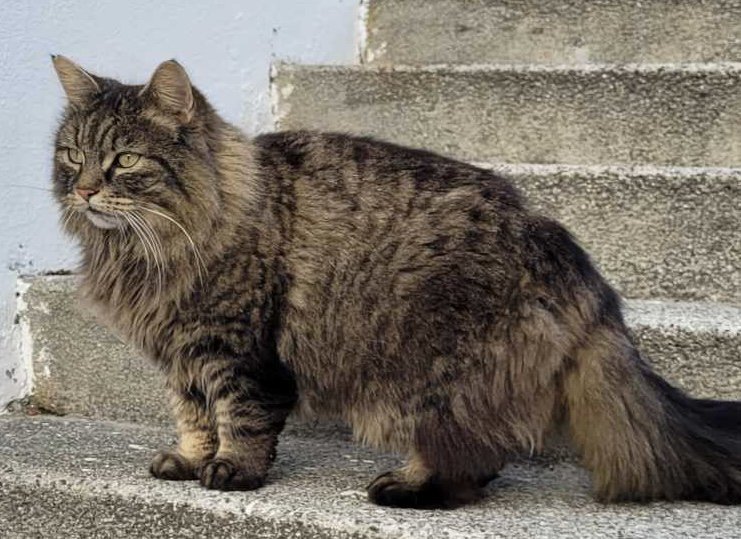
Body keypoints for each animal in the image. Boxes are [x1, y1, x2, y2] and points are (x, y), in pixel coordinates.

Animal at [50, 55, 741, 509]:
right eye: (72, 155)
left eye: (126, 161)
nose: (83, 190)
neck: (148, 247)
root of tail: (561, 247)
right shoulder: (183, 351)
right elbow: (193, 414)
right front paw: (191, 460)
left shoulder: (236, 349)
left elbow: (240, 417)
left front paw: (230, 472)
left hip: (426, 374)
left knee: (473, 457)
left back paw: (407, 489)